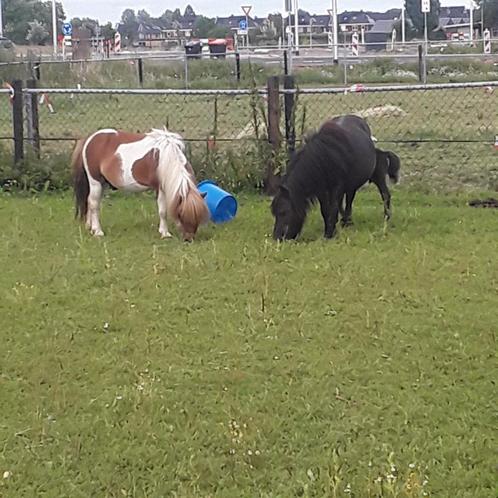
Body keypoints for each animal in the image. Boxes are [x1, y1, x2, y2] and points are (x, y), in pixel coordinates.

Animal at [71, 128, 208, 241]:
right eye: (181, 214)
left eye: (199, 216)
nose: (189, 239)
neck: (166, 158)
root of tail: (89, 139)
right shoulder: (160, 188)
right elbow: (163, 211)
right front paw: (165, 233)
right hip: (95, 181)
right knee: (94, 203)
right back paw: (98, 231)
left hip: (102, 183)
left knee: (91, 202)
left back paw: (90, 227)